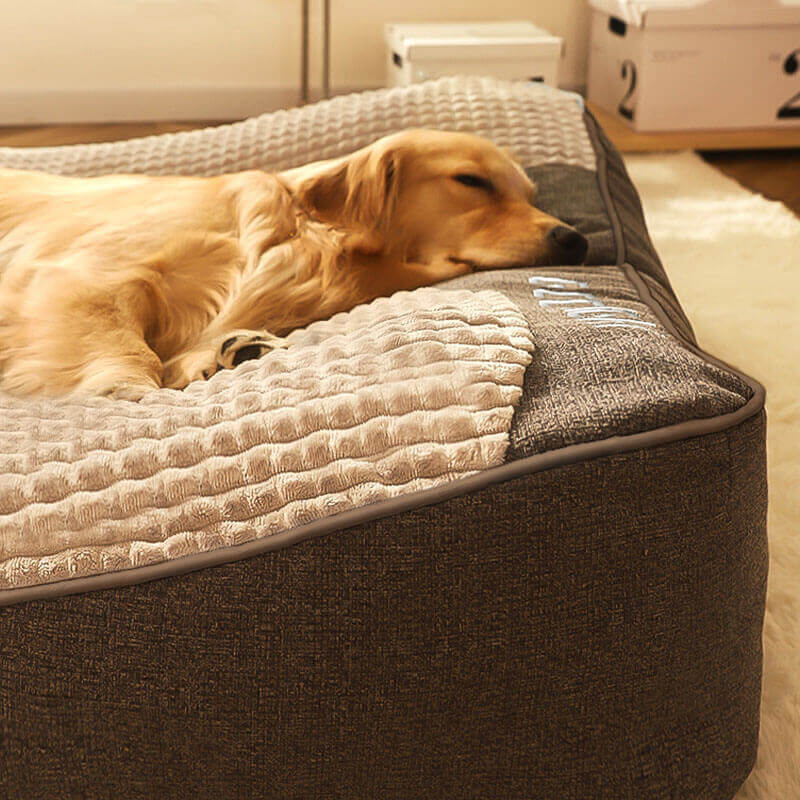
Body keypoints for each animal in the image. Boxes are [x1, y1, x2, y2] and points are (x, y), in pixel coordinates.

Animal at [0, 130, 588, 400]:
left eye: (532, 196)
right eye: (472, 181)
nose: (576, 240)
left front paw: (230, 351)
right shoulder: (85, 274)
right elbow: (127, 351)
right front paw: (127, 390)